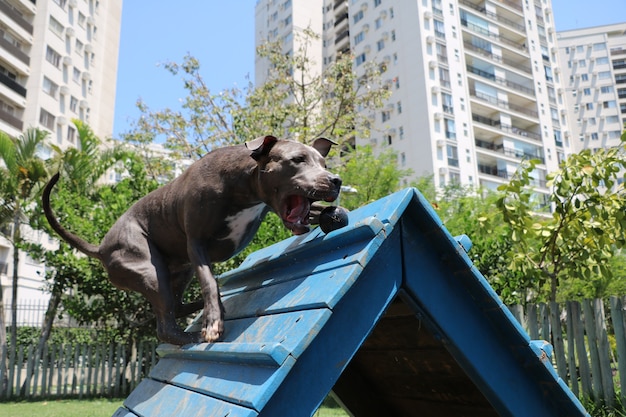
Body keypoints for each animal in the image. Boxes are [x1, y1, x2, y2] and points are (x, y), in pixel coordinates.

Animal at [42, 135, 342, 342]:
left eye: (323, 163)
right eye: (297, 160)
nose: (336, 180)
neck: (243, 185)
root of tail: (102, 247)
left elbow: (316, 210)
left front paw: (333, 214)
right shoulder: (197, 244)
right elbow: (209, 281)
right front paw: (212, 324)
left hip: (180, 272)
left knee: (177, 306)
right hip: (150, 270)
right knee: (166, 325)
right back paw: (193, 334)